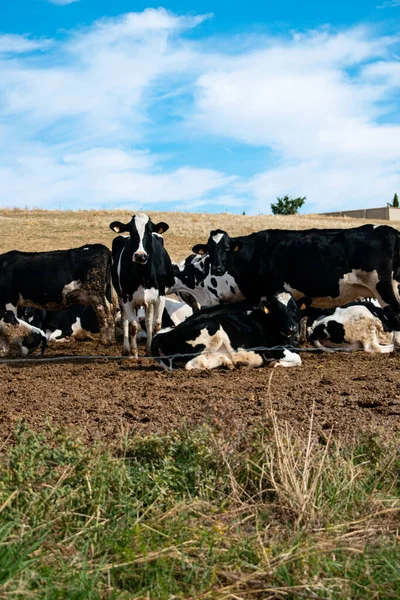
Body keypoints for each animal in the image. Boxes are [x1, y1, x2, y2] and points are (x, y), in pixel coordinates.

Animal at [109, 212, 173, 356]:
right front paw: (134, 353)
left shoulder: (160, 296)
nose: (140, 255)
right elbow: (133, 326)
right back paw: (126, 348)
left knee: (148, 321)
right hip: (121, 297)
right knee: (125, 320)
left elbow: (156, 325)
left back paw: (148, 349)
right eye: (131, 231)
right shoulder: (126, 297)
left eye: (149, 231)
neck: (143, 275)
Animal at [152, 292, 302, 370]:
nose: (292, 328)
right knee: (191, 364)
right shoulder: (273, 350)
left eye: (295, 309)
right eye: (277, 310)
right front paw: (276, 363)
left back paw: (231, 362)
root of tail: (162, 336)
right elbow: (298, 359)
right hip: (214, 330)